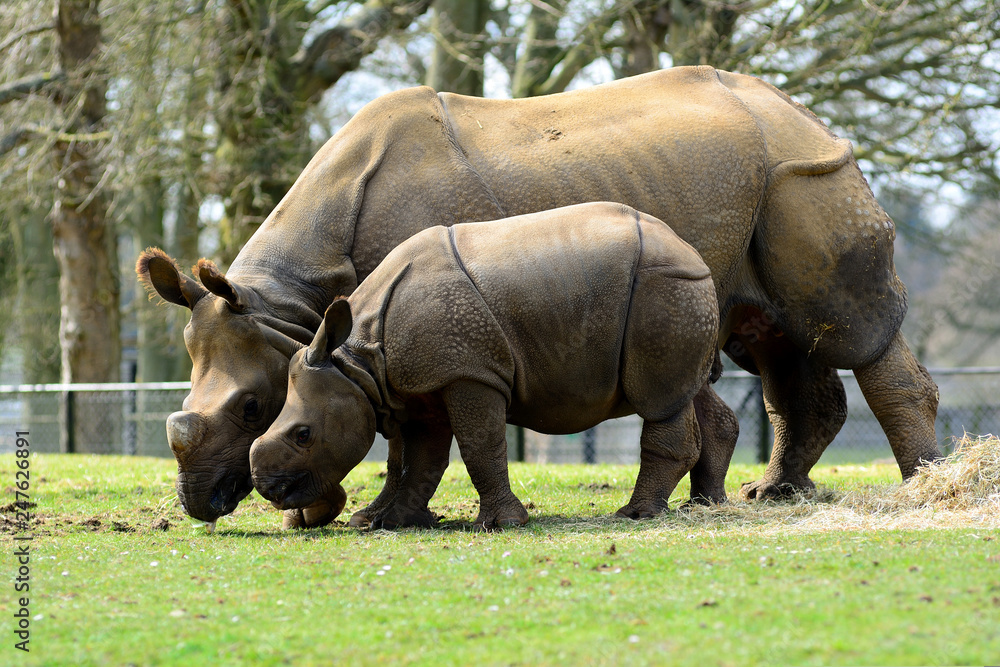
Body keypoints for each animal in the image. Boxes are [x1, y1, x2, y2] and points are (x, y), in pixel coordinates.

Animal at [249, 203, 723, 528]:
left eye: (303, 435)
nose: (269, 490)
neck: (359, 362)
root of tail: (692, 252)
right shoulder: (424, 383)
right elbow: (420, 459)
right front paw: (396, 523)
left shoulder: (469, 373)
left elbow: (479, 445)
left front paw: (501, 525)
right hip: (674, 291)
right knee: (690, 389)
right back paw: (690, 504)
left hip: (663, 287)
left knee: (660, 399)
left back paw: (636, 514)